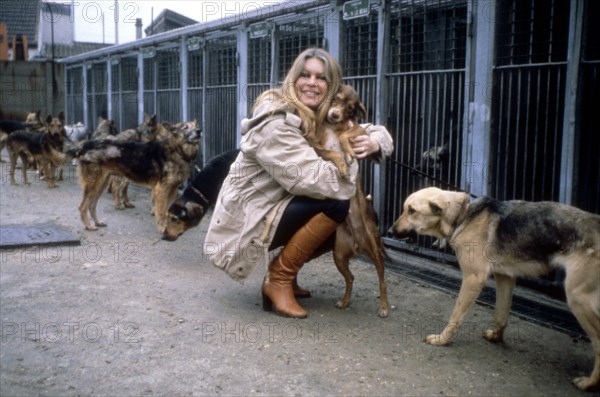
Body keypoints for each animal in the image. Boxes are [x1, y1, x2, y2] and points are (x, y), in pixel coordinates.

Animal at [390, 187, 600, 392]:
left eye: (412, 211)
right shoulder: (505, 277)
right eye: (405, 209)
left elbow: (455, 316)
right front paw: (496, 337)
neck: (464, 215)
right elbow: (501, 314)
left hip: (578, 299)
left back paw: (589, 383)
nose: (390, 231)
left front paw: (442, 339)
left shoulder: (473, 279)